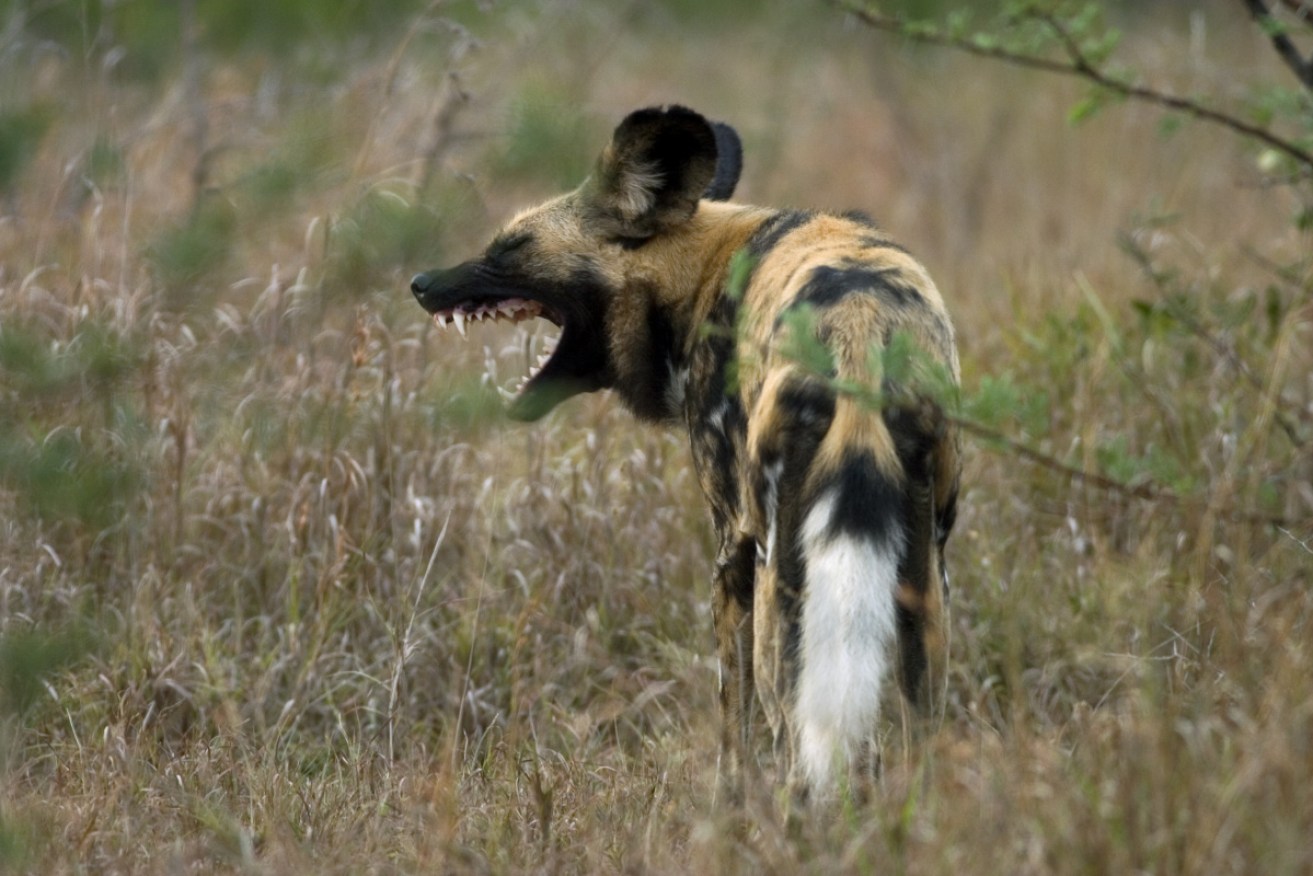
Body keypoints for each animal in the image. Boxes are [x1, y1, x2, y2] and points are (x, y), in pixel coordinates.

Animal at [412, 104, 966, 803]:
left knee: (795, 744)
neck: (697, 272)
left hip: (782, 579)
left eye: (511, 248)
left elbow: (734, 722)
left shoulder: (731, 550)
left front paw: (727, 806)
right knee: (919, 739)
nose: (420, 282)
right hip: (923, 578)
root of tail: (861, 325)